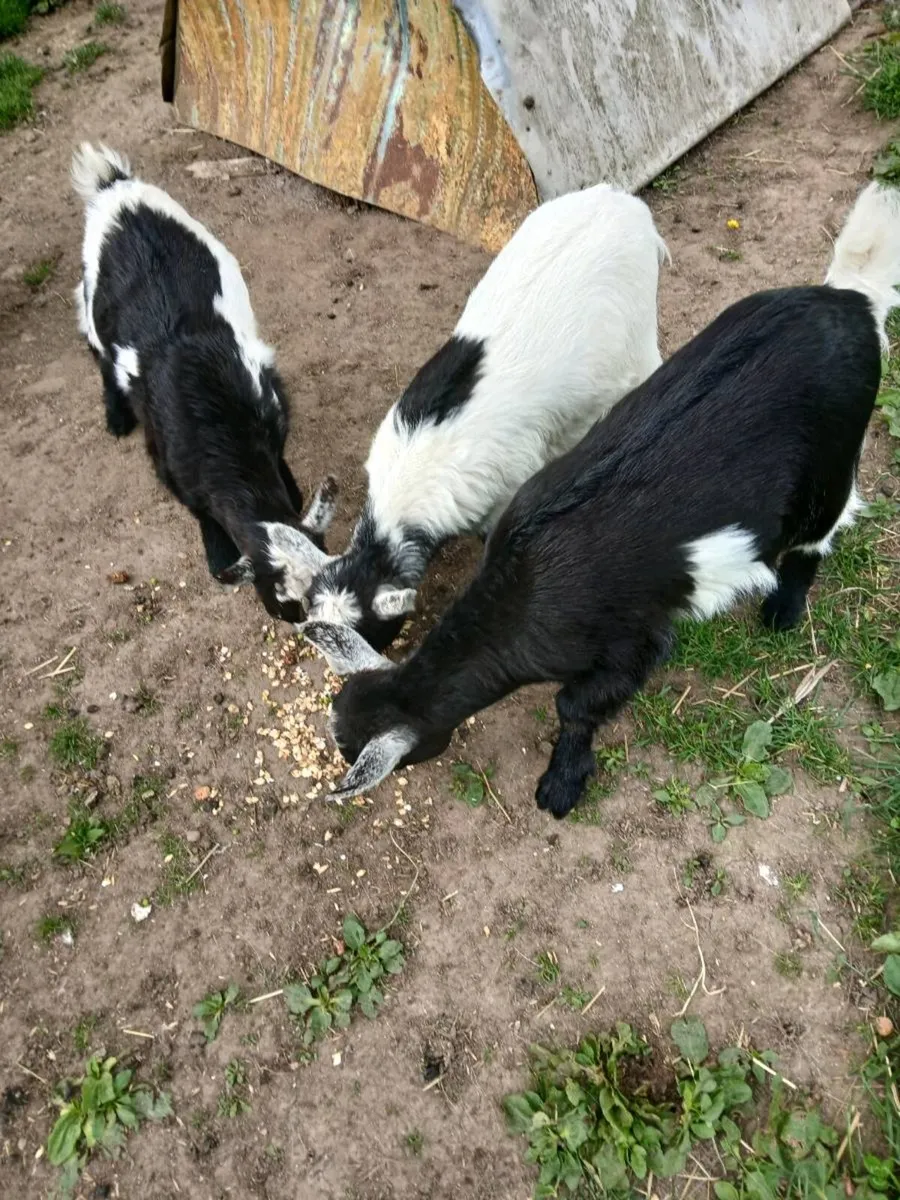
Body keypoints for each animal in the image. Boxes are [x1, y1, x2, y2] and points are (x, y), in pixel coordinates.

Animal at [72, 142, 337, 623]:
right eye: (280, 604)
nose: (303, 623)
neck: (215, 415)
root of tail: (115, 187)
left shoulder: (269, 409)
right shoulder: (170, 466)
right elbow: (203, 515)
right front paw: (218, 555)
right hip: (90, 296)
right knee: (96, 348)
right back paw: (116, 417)